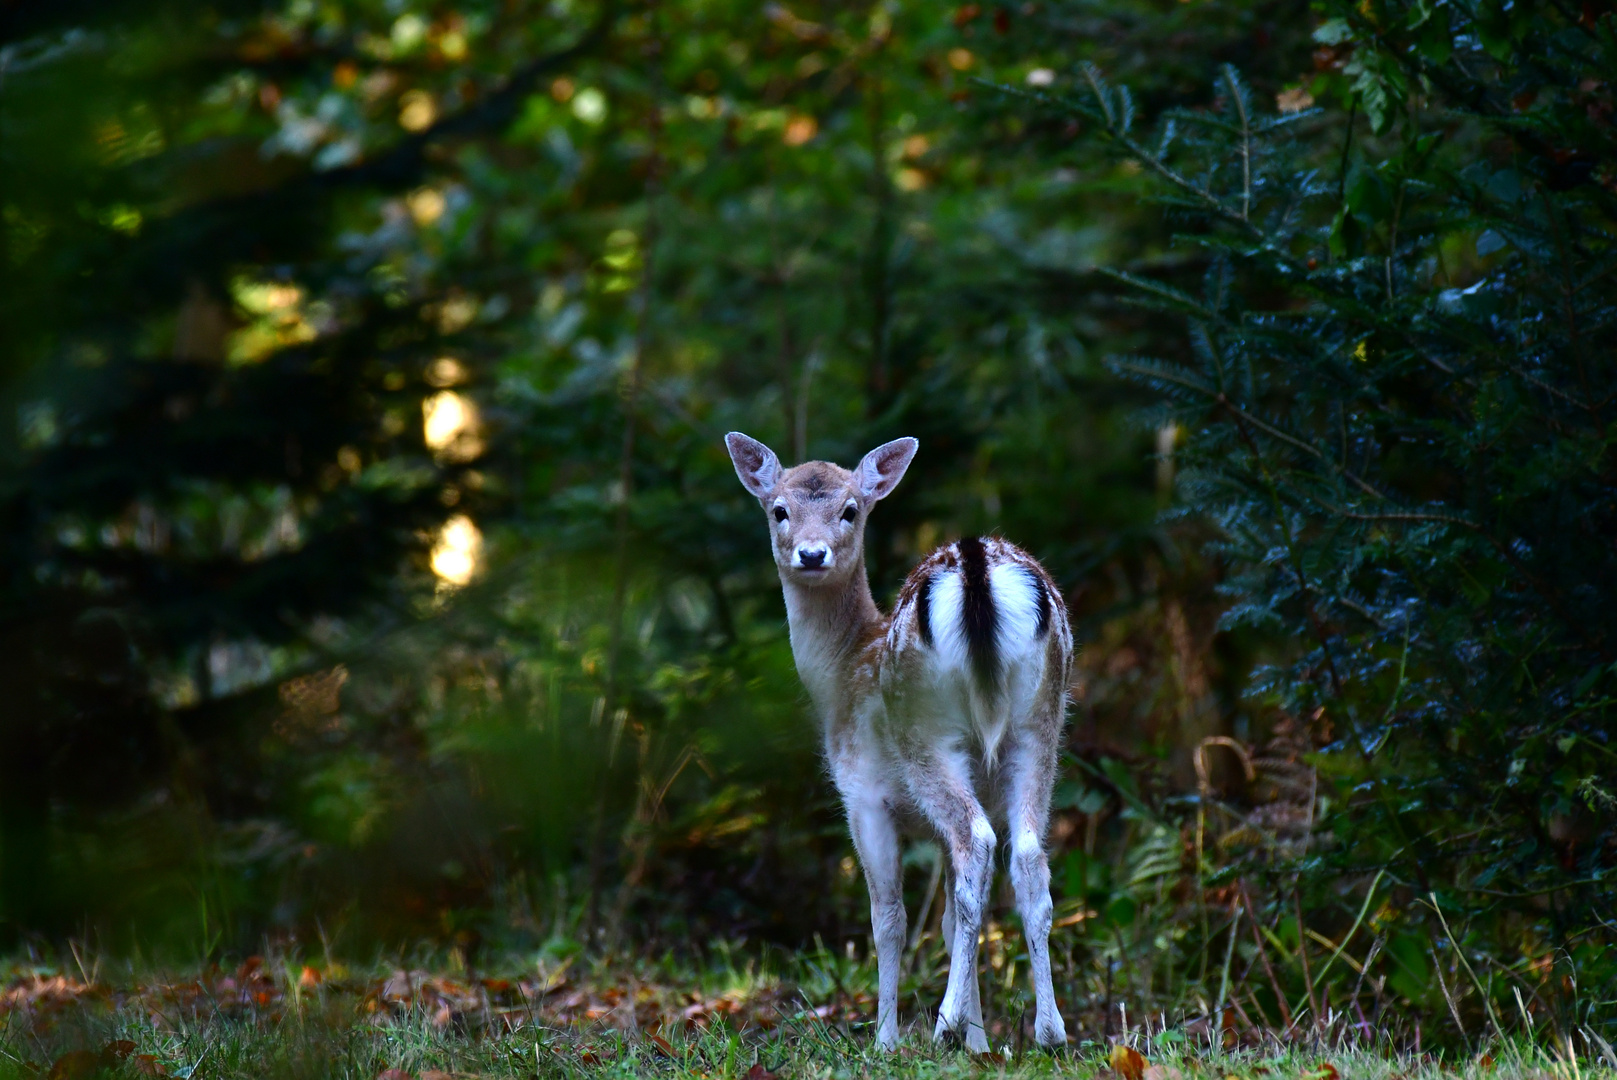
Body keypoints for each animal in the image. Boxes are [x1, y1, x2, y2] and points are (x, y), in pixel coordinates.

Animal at [724, 433, 1073, 1054]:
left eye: (850, 510)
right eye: (779, 510)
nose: (811, 554)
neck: (839, 674)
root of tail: (977, 567)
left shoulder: (863, 797)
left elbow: (888, 918)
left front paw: (887, 1039)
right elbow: (955, 917)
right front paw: (980, 1047)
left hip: (927, 732)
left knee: (977, 842)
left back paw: (944, 1022)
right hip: (1040, 726)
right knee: (1027, 858)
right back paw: (1050, 1031)